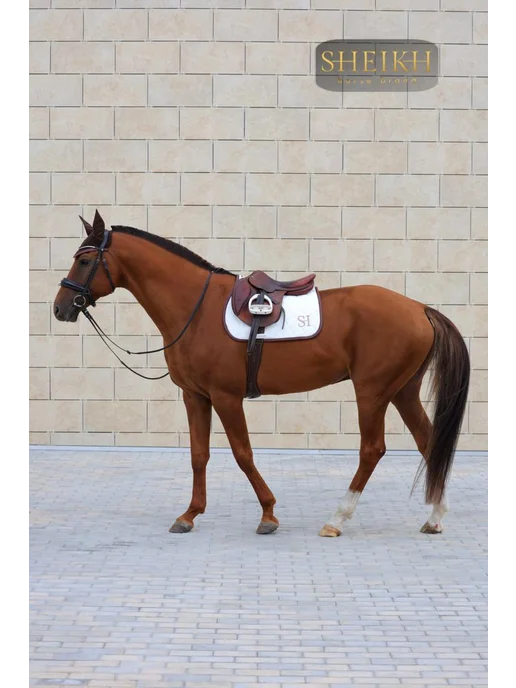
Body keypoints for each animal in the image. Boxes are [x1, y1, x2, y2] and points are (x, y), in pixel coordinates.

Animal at [53, 210, 470, 538]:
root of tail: (419, 308)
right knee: (428, 441)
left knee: (372, 449)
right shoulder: (195, 395)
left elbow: (242, 453)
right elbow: (199, 455)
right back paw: (435, 518)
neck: (196, 309)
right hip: (402, 391)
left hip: (372, 392)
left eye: (85, 261)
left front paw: (268, 514)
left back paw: (337, 519)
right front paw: (189, 515)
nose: (60, 307)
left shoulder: (226, 397)